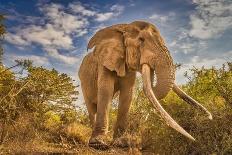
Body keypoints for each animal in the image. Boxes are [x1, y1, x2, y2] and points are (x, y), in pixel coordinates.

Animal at [78, 20, 212, 149]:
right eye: (141, 40)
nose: (209, 118)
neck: (123, 27)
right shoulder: (105, 61)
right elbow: (106, 90)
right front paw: (98, 144)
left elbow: (127, 94)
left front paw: (121, 143)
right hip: (83, 81)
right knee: (91, 107)